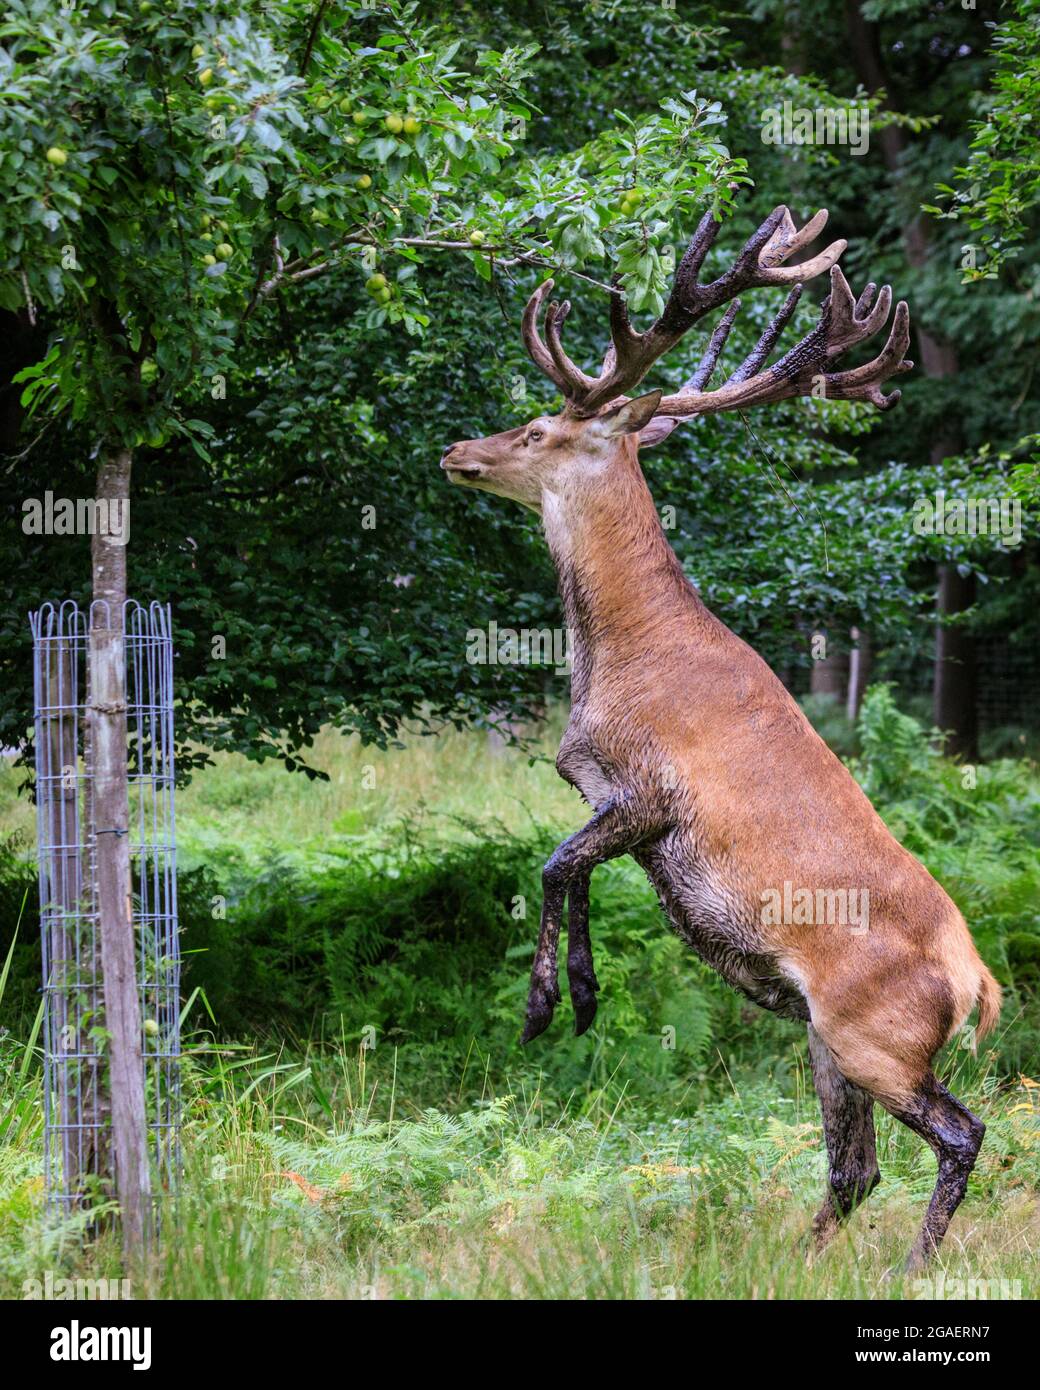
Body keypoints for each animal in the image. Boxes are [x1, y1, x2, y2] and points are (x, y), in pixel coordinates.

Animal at [439, 202, 1001, 1273]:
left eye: (537, 427)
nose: (455, 450)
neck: (616, 660)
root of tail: (978, 990)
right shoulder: (610, 799)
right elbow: (569, 868)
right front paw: (582, 997)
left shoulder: (652, 792)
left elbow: (554, 864)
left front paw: (550, 1007)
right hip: (829, 1041)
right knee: (854, 1165)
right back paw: (802, 1259)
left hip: (877, 1032)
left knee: (961, 1133)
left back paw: (915, 1266)